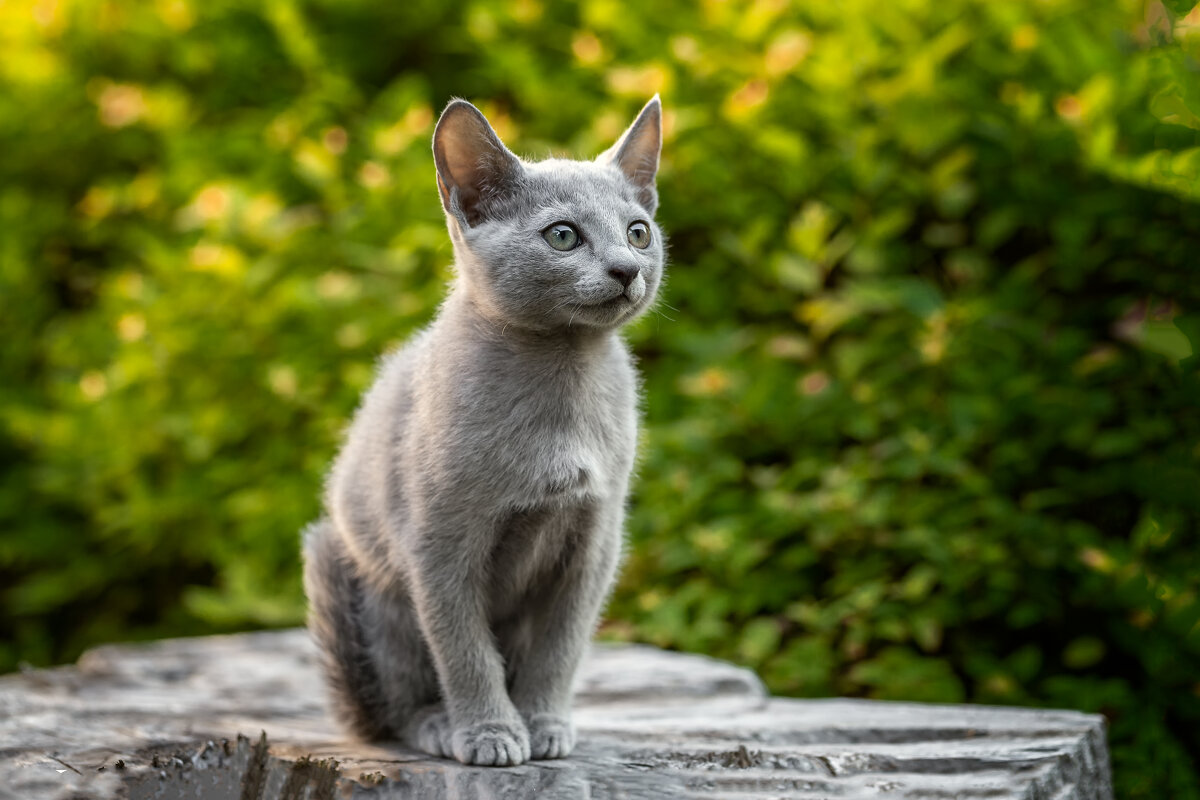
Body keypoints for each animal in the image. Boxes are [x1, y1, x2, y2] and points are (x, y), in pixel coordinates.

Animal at [300, 97, 667, 767]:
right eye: (562, 235)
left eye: (638, 231)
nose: (627, 269)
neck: (560, 378)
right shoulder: (439, 544)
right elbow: (465, 652)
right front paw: (492, 734)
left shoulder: (594, 543)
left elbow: (560, 649)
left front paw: (544, 723)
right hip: (378, 598)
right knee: (393, 710)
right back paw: (437, 727)